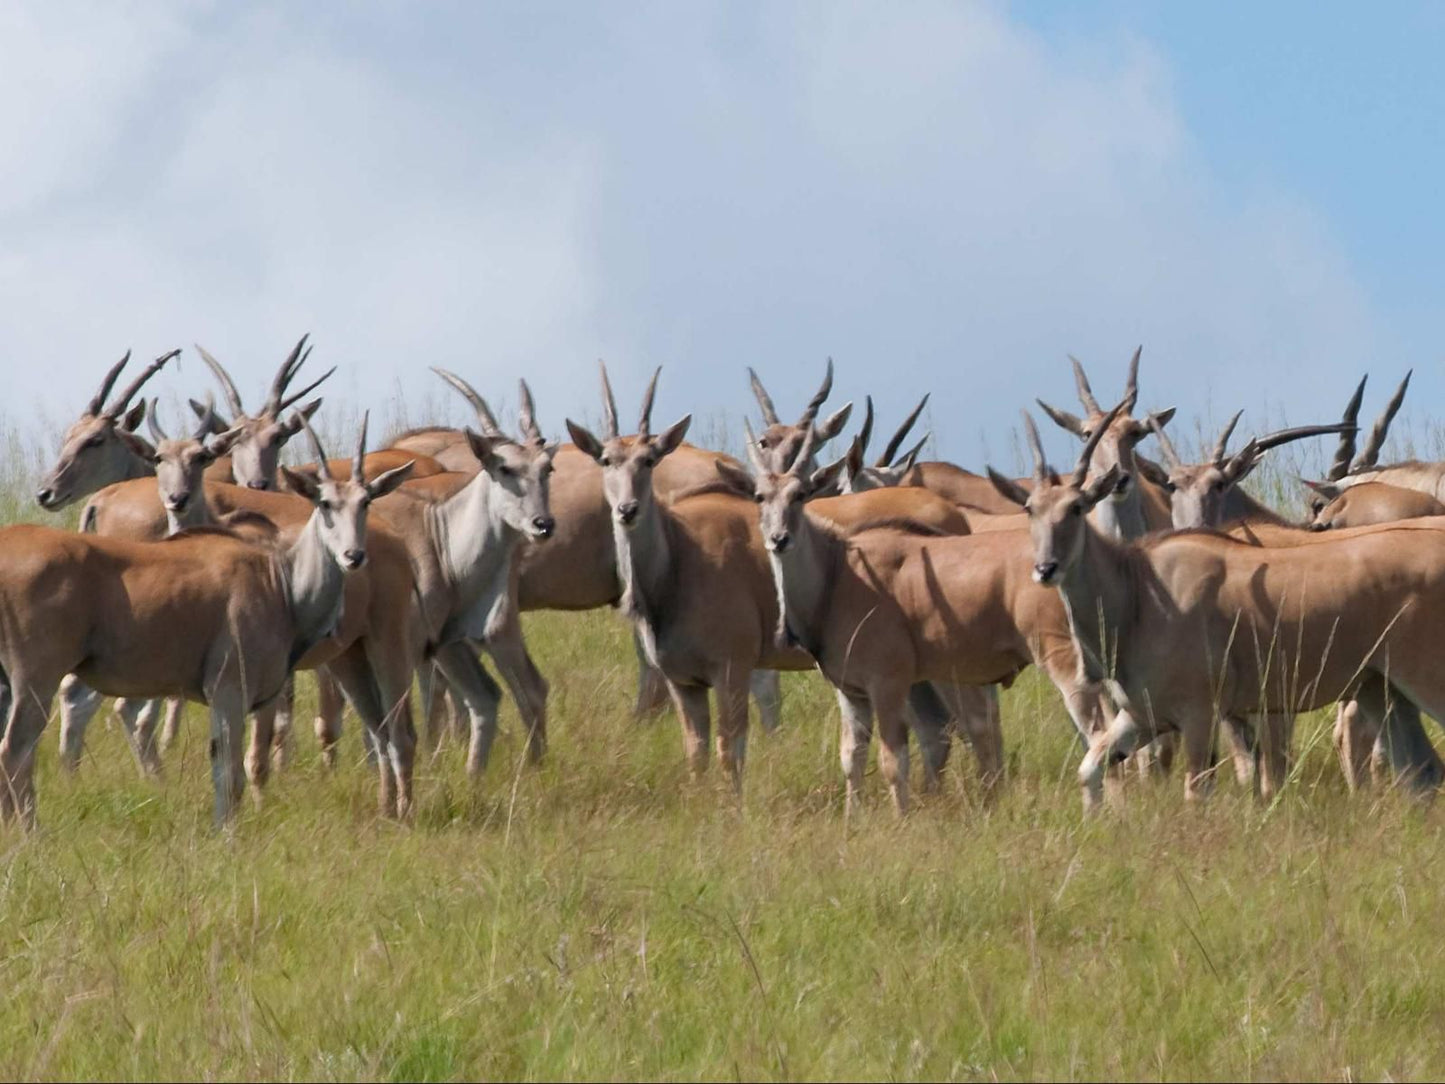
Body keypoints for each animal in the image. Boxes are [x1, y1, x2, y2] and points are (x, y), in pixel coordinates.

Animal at [1, 419, 419, 826]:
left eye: (365, 502)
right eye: (325, 504)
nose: (354, 556)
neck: (279, 579)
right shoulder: (229, 692)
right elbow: (230, 775)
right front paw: (228, 835)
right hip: (36, 680)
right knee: (16, 749)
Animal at [563, 365, 820, 792]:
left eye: (650, 459)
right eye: (606, 460)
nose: (627, 509)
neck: (677, 566)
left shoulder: (732, 670)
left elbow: (728, 750)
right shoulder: (683, 683)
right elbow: (696, 751)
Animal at [988, 404, 1445, 809]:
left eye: (1077, 507)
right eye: (1030, 509)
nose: (1045, 568)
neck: (1139, 591)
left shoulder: (1200, 716)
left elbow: (1197, 791)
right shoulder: (1141, 716)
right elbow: (1090, 770)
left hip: (1422, 683)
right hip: (1380, 690)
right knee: (1422, 771)